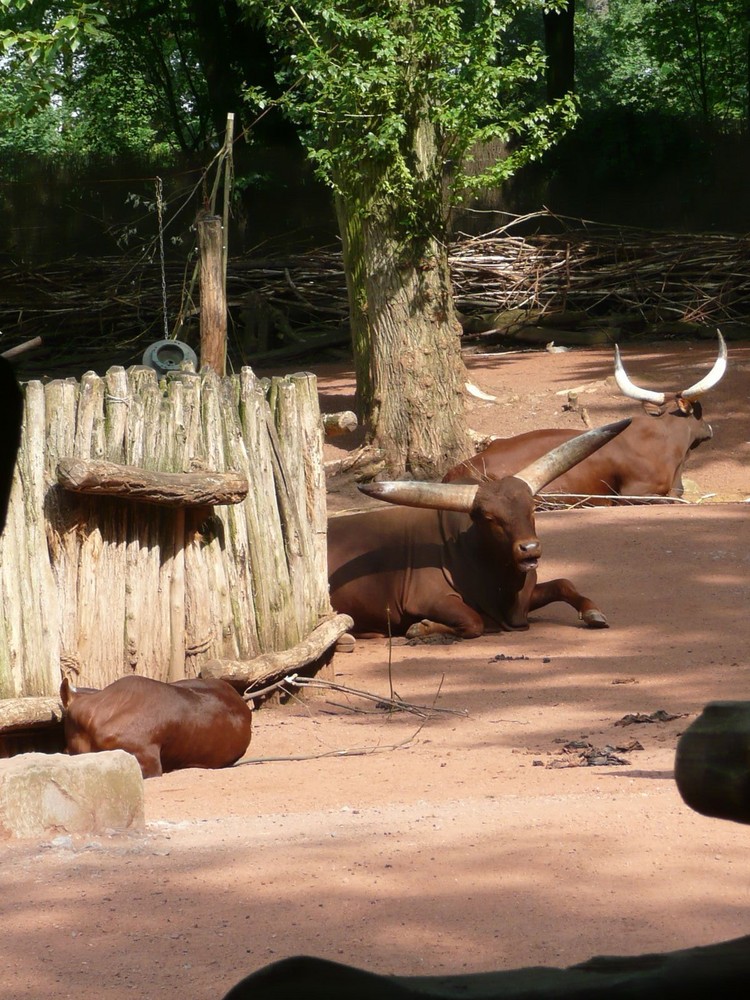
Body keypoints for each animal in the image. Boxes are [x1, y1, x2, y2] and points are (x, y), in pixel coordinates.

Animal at [332, 418, 632, 636]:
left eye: (532, 508)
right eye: (489, 518)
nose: (529, 548)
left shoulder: (524, 596)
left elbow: (563, 584)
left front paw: (593, 612)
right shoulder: (427, 599)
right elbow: (473, 621)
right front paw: (423, 627)